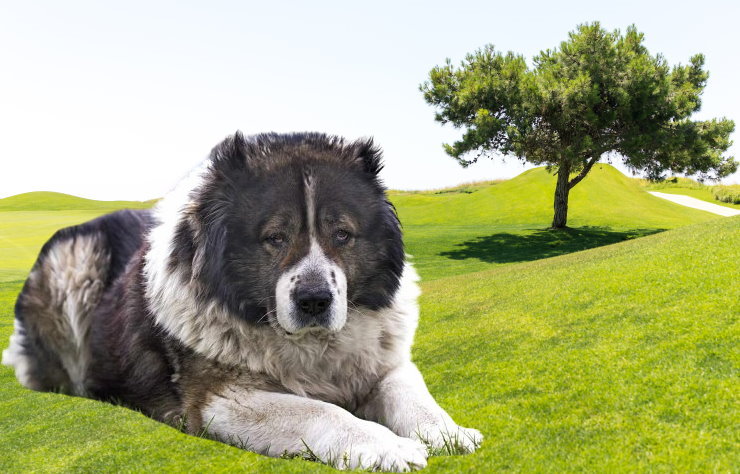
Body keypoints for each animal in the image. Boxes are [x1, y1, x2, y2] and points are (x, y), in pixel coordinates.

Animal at [2, 132, 482, 470]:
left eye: (342, 234)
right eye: (274, 237)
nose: (314, 301)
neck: (312, 349)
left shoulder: (383, 363)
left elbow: (411, 395)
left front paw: (449, 432)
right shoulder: (221, 400)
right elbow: (321, 411)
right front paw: (384, 445)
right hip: (74, 266)